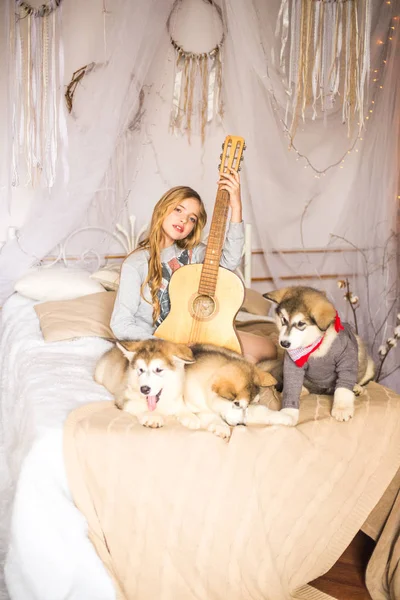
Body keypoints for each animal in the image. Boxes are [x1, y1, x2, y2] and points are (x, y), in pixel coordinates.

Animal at [260, 286, 376, 426]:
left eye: (300, 324)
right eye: (283, 320)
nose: (284, 343)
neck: (314, 346)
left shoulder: (346, 359)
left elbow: (343, 388)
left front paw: (342, 409)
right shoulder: (292, 367)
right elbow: (291, 388)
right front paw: (288, 413)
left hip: (369, 366)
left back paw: (356, 388)